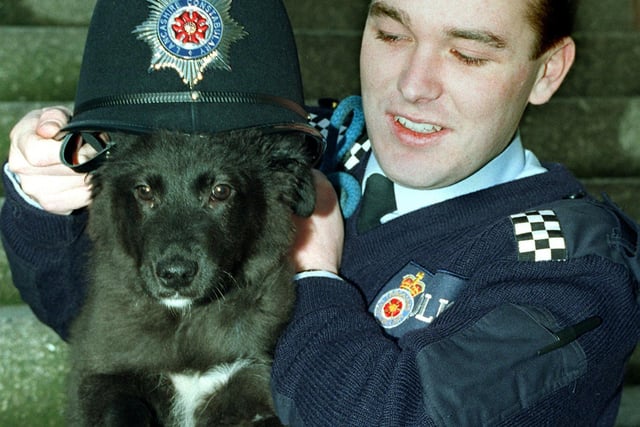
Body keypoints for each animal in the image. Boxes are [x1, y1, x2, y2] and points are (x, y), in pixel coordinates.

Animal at [67, 130, 316, 427]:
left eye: (220, 191)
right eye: (144, 191)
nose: (176, 275)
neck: (185, 322)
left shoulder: (252, 376)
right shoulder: (103, 376)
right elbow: (120, 410)